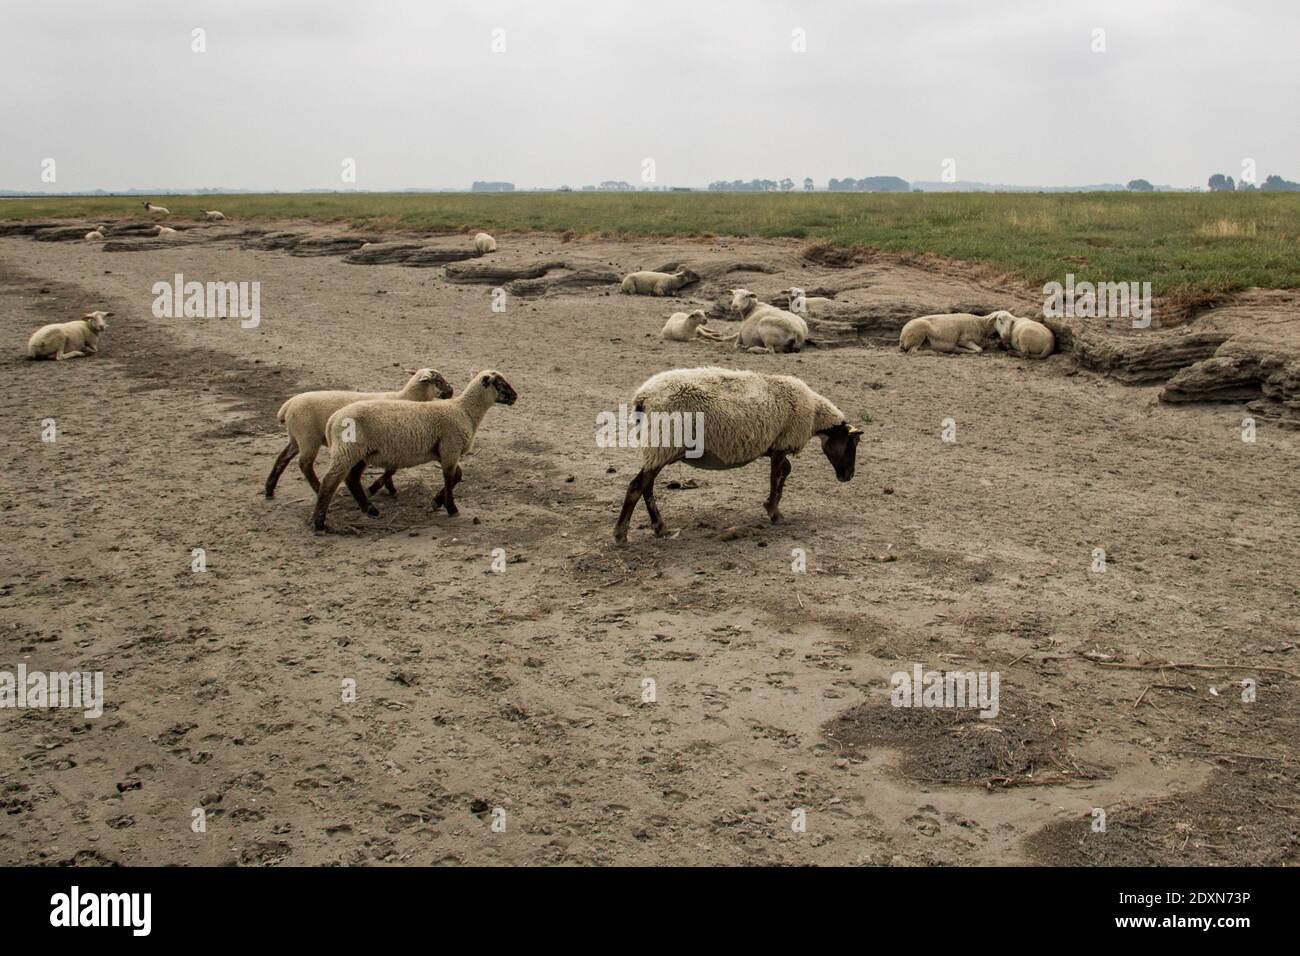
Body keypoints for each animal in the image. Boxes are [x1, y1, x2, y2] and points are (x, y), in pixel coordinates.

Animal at [261, 369, 454, 502]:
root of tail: (287, 405)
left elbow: (390, 468)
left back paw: (269, 490)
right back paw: (318, 489)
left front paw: (390, 490)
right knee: (305, 464)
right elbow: (391, 469)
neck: (406, 397)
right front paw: (379, 489)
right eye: (438, 380)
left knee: (282, 459)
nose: (451, 391)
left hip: (296, 438)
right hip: (308, 438)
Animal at [310, 369, 517, 530]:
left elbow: (457, 476)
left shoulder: (445, 452)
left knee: (352, 479)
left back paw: (370, 510)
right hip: (348, 450)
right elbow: (449, 479)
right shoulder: (450, 448)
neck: (464, 410)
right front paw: (451, 508)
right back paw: (319, 523)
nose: (516, 397)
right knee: (330, 481)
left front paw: (437, 502)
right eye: (500, 383)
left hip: (362, 453)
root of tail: (333, 420)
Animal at [611, 369, 857, 546]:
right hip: (663, 442)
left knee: (647, 487)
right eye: (852, 444)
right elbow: (777, 476)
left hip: (659, 447)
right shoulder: (782, 443)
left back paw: (659, 527)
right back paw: (621, 534)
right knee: (637, 486)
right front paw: (774, 513)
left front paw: (771, 507)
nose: (848, 476)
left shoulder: (777, 445)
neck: (815, 414)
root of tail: (642, 398)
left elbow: (784, 472)